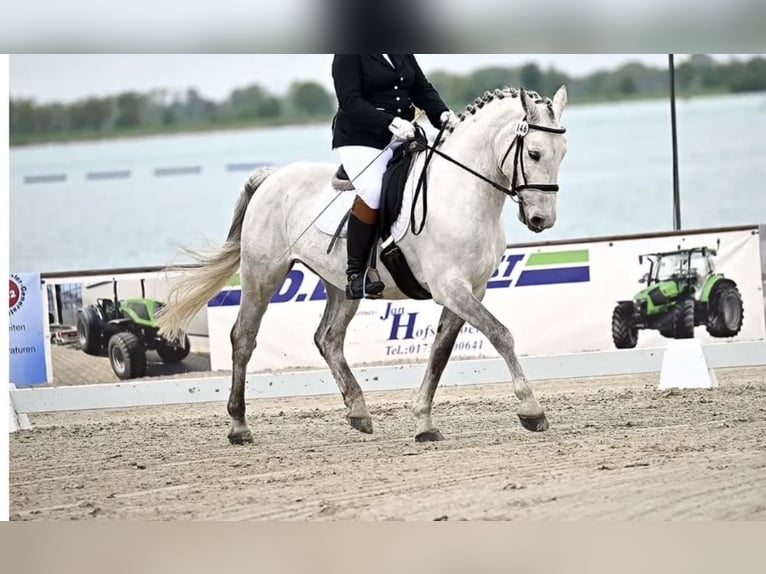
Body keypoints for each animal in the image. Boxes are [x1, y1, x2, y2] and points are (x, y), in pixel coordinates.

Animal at [158, 84, 568, 446]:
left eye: (562, 153)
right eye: (534, 153)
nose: (541, 220)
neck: (461, 193)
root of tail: (272, 177)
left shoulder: (471, 289)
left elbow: (440, 352)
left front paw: (424, 423)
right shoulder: (450, 287)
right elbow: (501, 334)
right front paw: (532, 411)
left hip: (341, 285)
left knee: (328, 339)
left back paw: (358, 412)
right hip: (263, 274)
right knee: (244, 338)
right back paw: (239, 427)